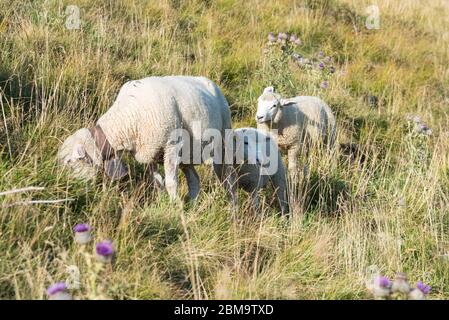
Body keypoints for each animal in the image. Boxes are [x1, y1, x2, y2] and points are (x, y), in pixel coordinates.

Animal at [57, 75, 236, 202]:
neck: (127, 118)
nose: (65, 187)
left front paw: (174, 207)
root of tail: (210, 82)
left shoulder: (171, 146)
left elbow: (171, 182)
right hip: (187, 154)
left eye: (69, 162)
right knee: (194, 180)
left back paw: (233, 210)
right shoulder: (149, 152)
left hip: (223, 143)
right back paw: (192, 206)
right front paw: (162, 203)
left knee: (229, 180)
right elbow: (157, 181)